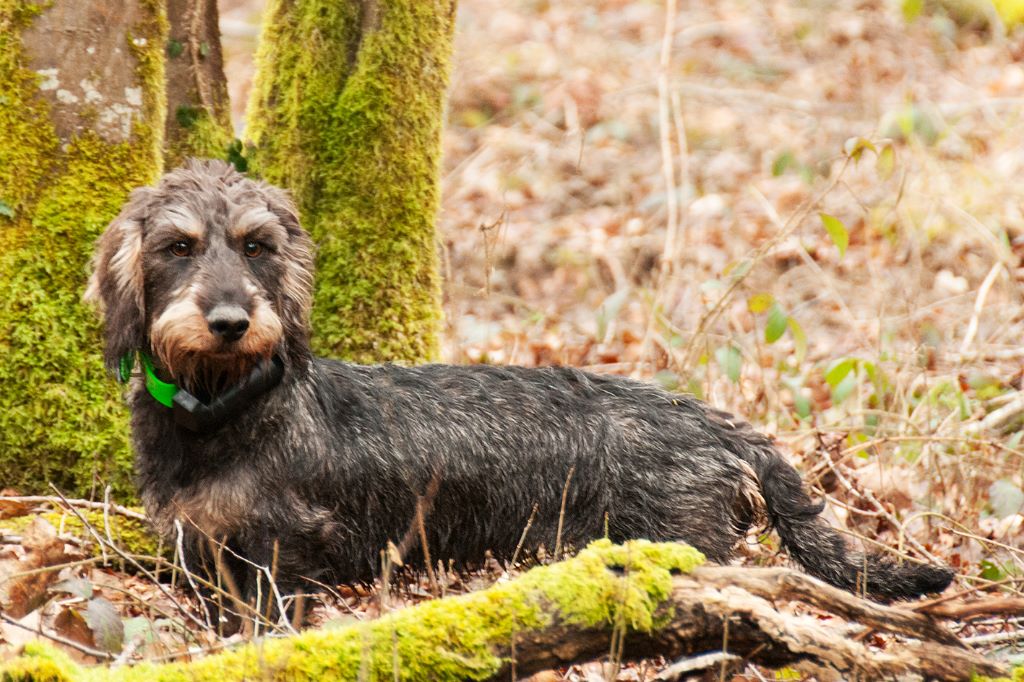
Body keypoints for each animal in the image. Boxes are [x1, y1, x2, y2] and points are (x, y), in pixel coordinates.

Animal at [83, 159, 954, 614]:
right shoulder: (203, 551)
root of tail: (718, 422)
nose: (231, 321)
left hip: (687, 551)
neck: (221, 408)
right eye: (177, 246)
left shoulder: (282, 560)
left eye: (257, 245)